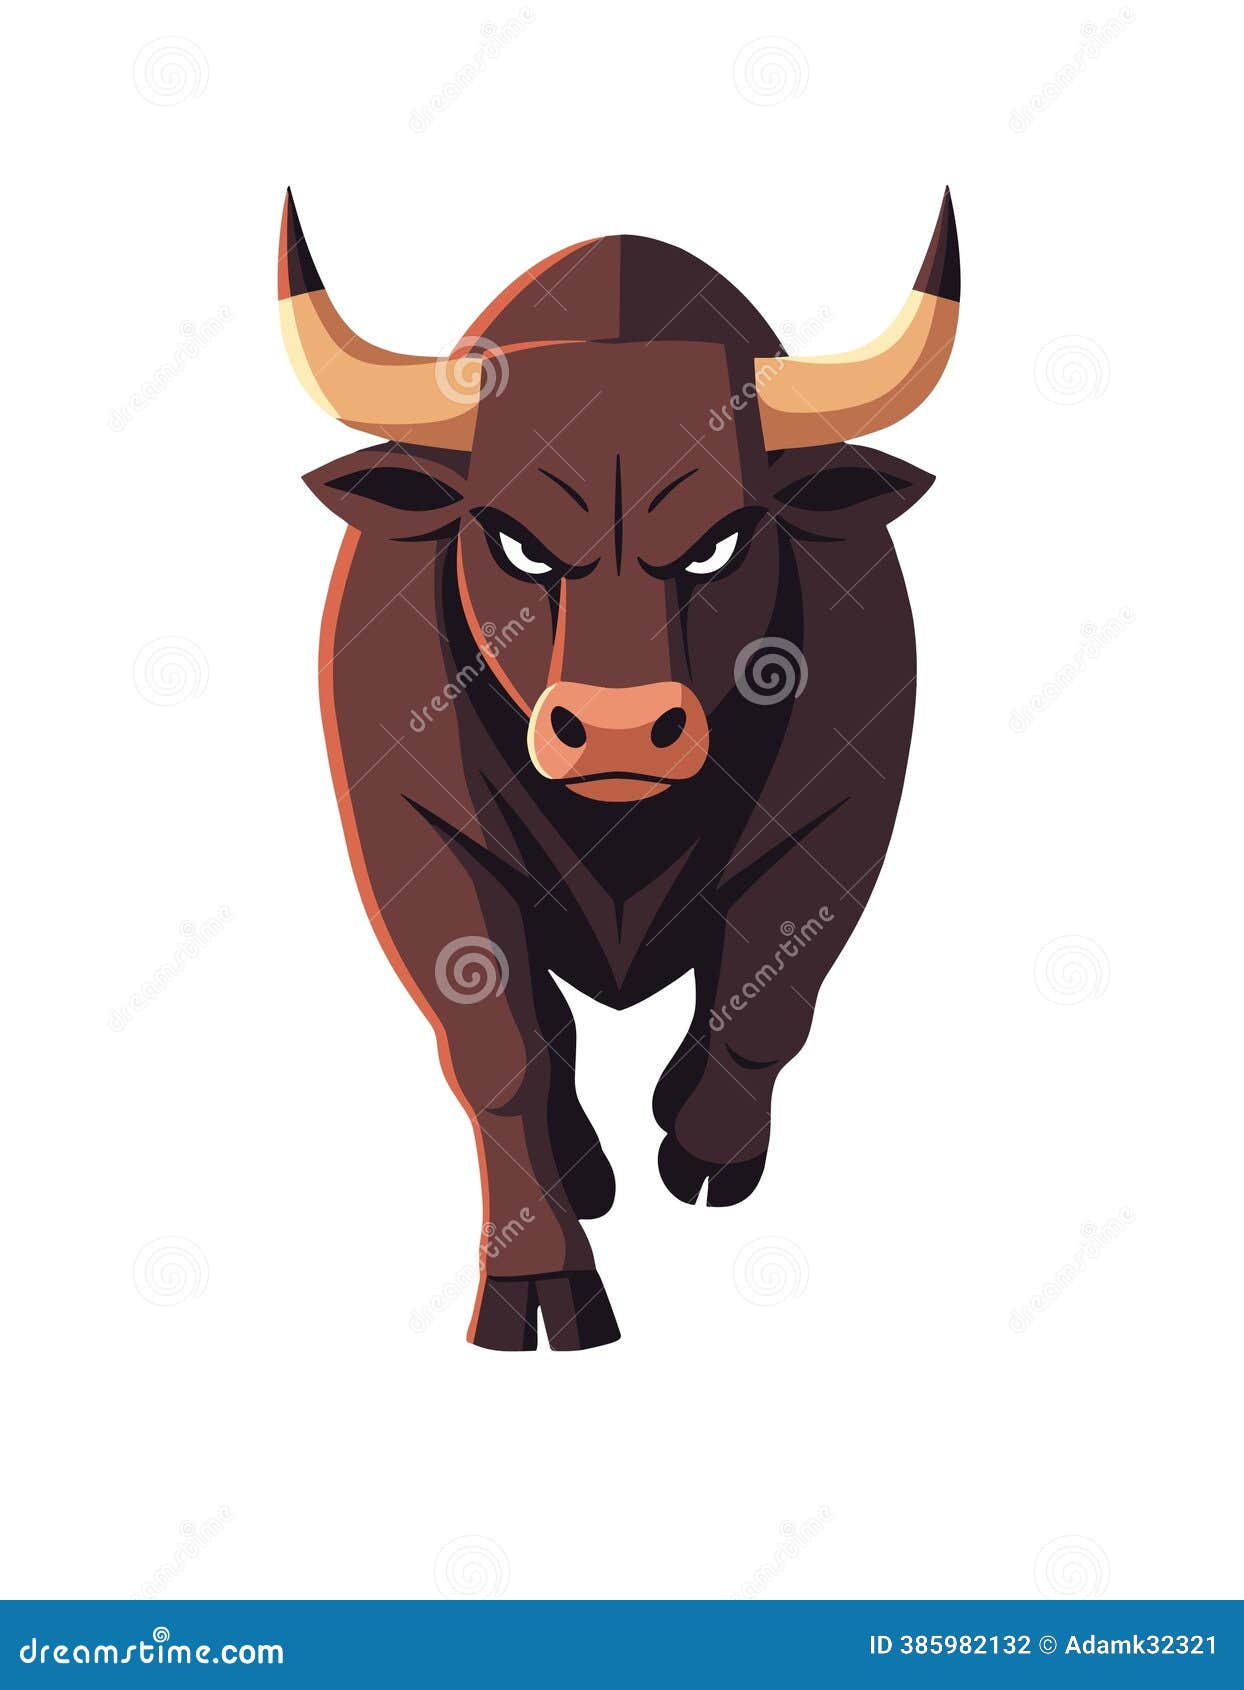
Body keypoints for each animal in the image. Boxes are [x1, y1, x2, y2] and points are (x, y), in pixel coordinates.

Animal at [277, 188, 960, 1350]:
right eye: (513, 543)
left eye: (722, 544)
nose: (615, 731)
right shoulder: (417, 843)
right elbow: (503, 1054)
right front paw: (540, 1275)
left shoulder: (838, 822)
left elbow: (764, 1004)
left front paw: (704, 1150)